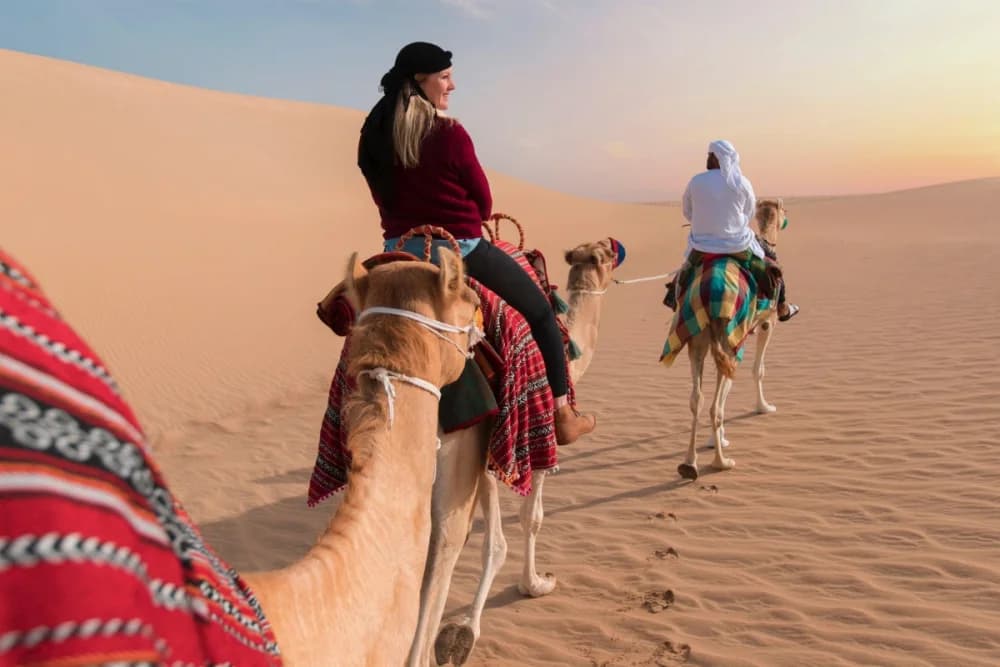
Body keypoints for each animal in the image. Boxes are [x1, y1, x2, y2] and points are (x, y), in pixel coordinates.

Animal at [407, 239, 619, 667]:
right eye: (605, 254)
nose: (615, 248)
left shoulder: (491, 454)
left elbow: (495, 539)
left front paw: (463, 629)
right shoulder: (535, 441)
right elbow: (530, 518)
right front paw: (533, 585)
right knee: (443, 547)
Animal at [676, 199, 787, 480]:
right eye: (785, 210)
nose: (785, 219)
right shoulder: (767, 323)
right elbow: (759, 369)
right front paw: (764, 407)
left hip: (698, 339)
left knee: (697, 399)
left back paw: (689, 463)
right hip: (730, 340)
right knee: (716, 403)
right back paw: (721, 462)